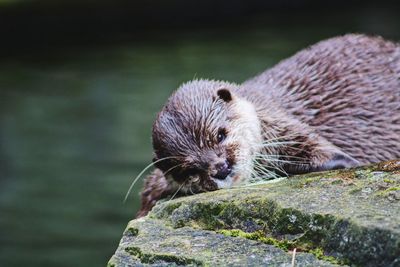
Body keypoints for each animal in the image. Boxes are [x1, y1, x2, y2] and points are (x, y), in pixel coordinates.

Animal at [135, 34, 400, 218]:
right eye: (190, 171)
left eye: (220, 135)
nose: (221, 167)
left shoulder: (285, 126)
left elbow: (321, 150)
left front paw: (351, 162)